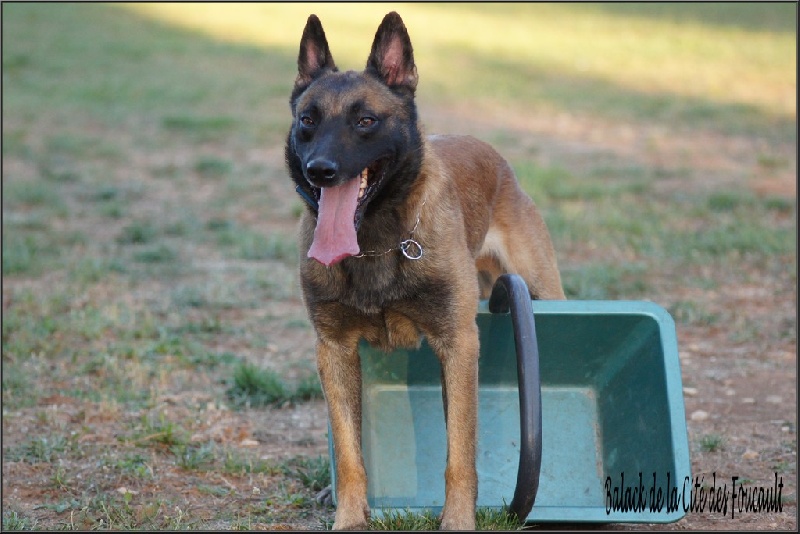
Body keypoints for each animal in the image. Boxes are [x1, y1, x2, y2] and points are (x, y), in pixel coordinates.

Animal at [284, 11, 564, 532]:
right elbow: (350, 454)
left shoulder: (457, 344)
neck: (375, 242)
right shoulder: (334, 350)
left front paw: (457, 520)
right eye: (307, 121)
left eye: (365, 121)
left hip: (543, 288)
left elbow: (460, 452)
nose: (319, 170)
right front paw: (349, 518)